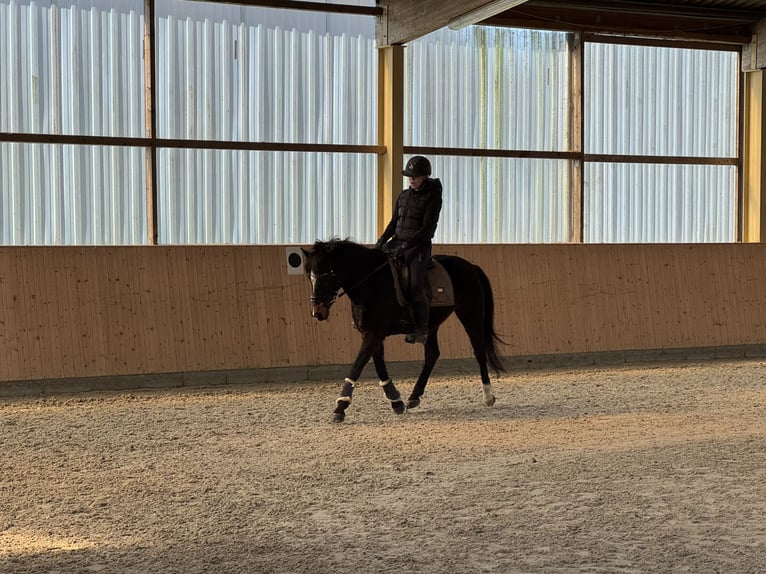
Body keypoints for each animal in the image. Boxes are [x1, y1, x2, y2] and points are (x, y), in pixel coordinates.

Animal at [302, 238, 505, 423]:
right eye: (309, 277)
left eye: (327, 276)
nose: (317, 312)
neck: (372, 284)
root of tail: (470, 266)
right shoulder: (372, 333)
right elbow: (379, 365)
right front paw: (396, 402)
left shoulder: (374, 333)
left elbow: (357, 366)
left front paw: (340, 406)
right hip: (431, 324)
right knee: (432, 354)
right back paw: (414, 397)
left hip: (470, 314)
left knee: (479, 349)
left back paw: (488, 396)